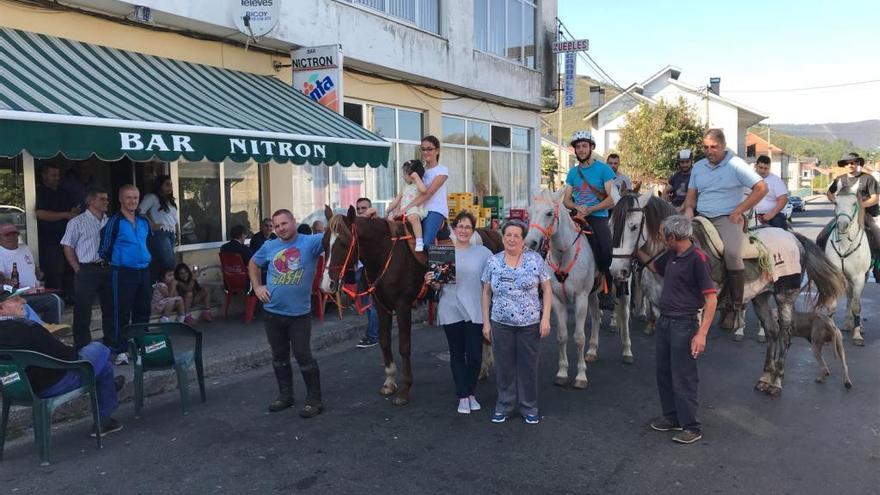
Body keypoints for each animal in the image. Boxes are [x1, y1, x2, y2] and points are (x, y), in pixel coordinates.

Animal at [322, 206, 502, 406]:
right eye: (323, 243)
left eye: (344, 243)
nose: (327, 284)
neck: (386, 253)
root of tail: (489, 232)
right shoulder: (381, 306)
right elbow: (385, 342)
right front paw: (389, 382)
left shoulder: (403, 305)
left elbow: (404, 346)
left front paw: (404, 390)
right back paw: (483, 368)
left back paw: (483, 367)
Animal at [524, 189, 600, 388]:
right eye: (529, 213)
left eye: (549, 213)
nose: (530, 243)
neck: (564, 255)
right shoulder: (557, 300)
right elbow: (562, 335)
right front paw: (563, 372)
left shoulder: (581, 298)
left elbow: (579, 337)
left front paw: (580, 376)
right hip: (593, 294)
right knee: (597, 316)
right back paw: (592, 351)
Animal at [824, 184, 872, 346]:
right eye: (835, 203)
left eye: (853, 203)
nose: (842, 225)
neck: (845, 244)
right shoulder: (835, 275)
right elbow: (832, 306)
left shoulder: (859, 277)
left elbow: (857, 306)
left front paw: (857, 335)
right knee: (849, 297)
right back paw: (847, 323)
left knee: (856, 299)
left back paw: (859, 326)